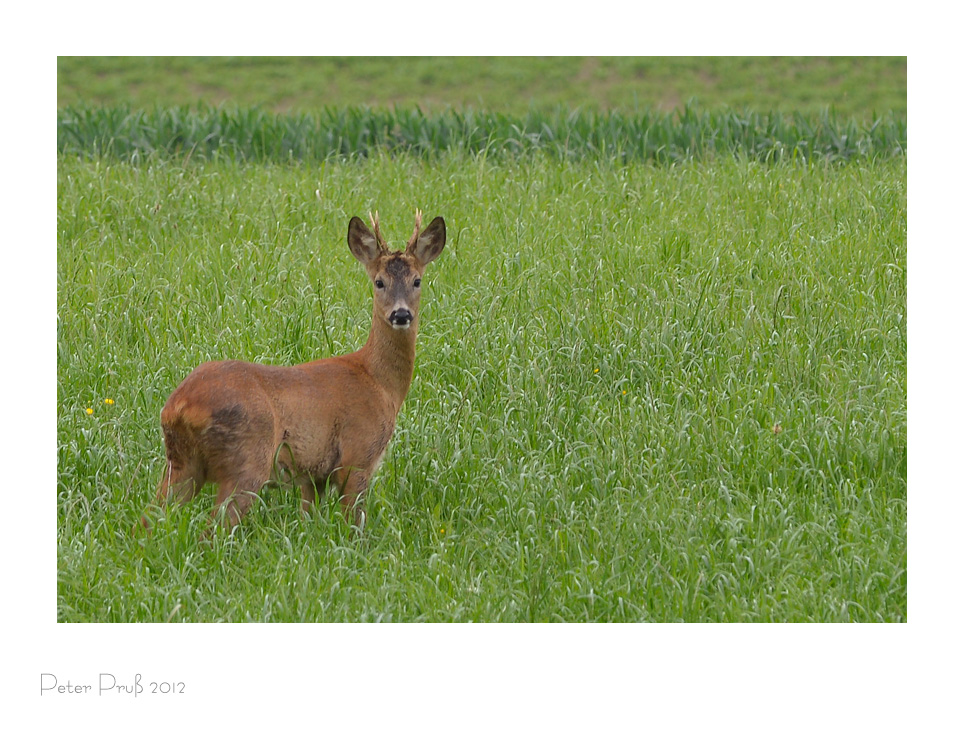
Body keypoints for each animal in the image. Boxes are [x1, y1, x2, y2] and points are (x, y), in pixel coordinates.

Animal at [137, 210, 446, 532]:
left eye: (417, 280)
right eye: (379, 282)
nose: (401, 314)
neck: (379, 382)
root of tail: (179, 407)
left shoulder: (314, 475)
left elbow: (310, 517)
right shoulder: (357, 455)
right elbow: (354, 525)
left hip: (181, 464)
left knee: (147, 519)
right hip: (247, 459)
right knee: (214, 528)